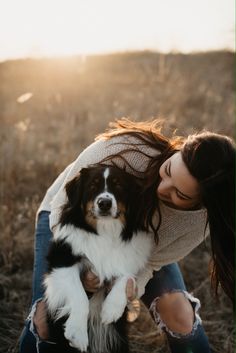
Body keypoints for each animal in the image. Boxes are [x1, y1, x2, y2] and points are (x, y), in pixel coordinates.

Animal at [43, 164, 152, 352]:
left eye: (118, 185)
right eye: (93, 186)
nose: (104, 203)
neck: (105, 231)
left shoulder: (130, 259)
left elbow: (127, 277)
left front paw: (111, 310)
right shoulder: (61, 260)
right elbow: (79, 295)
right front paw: (77, 333)